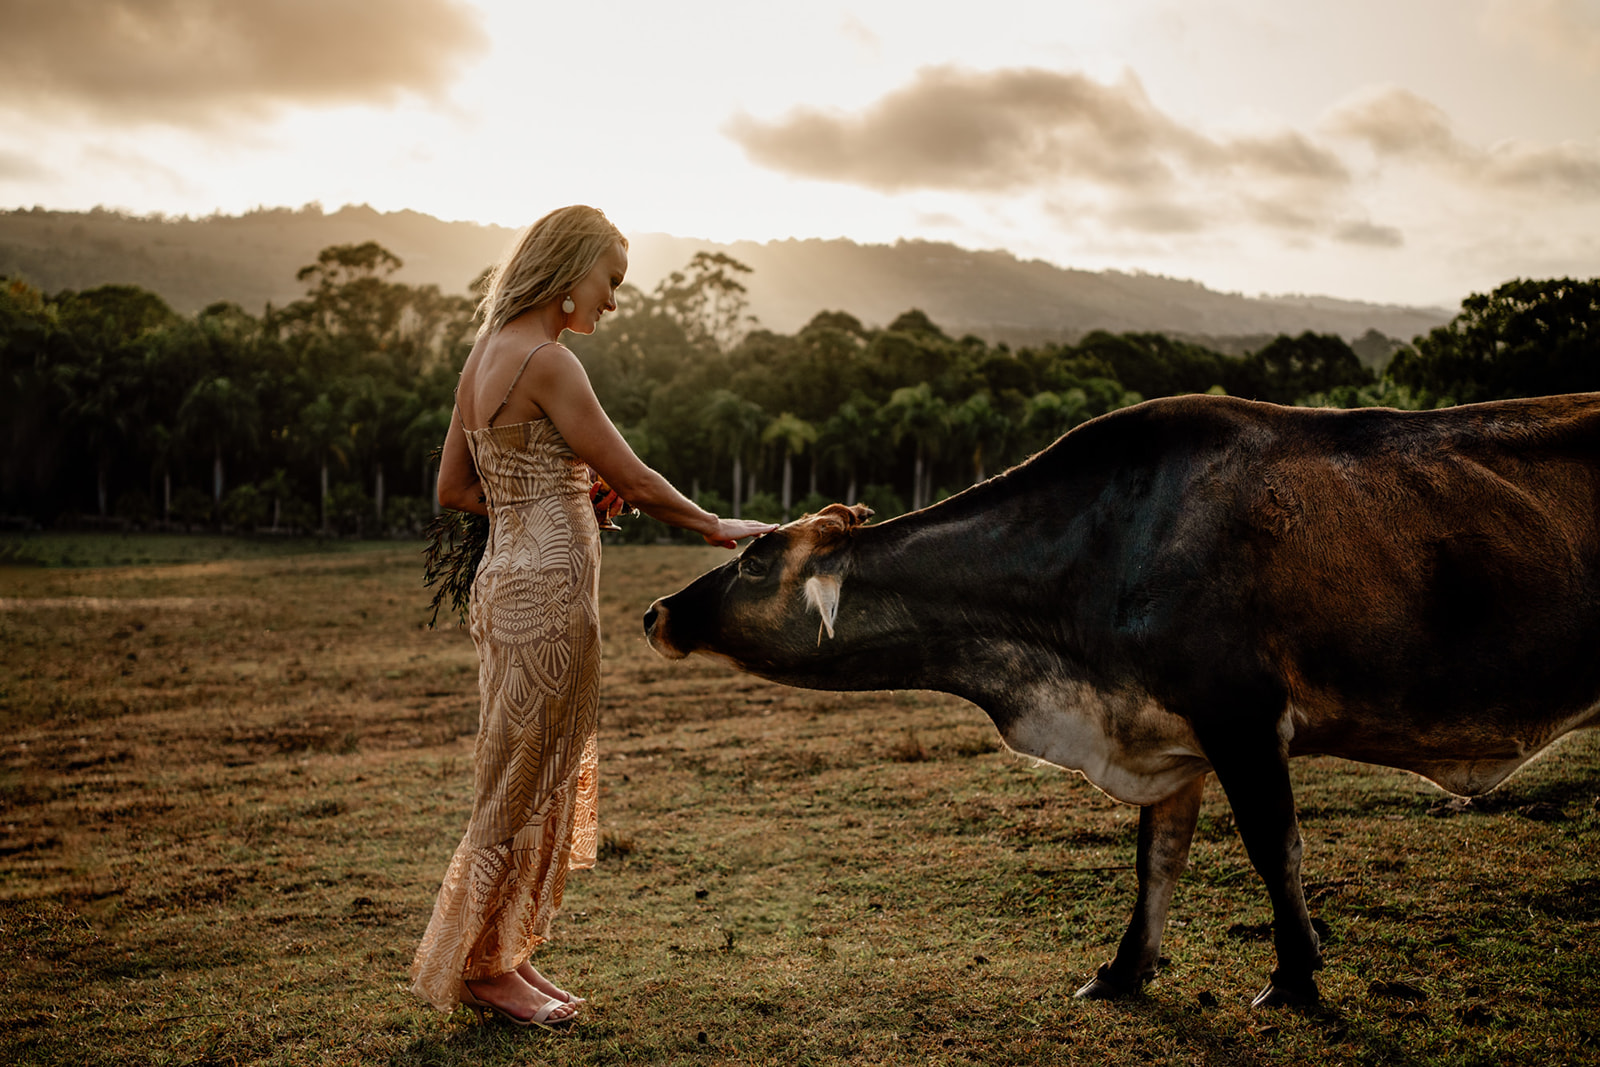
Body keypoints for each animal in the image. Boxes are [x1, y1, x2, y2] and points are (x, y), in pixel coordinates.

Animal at [643, 395, 1600, 1011]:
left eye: (756, 559)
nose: (656, 611)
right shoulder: (1166, 734)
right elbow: (1158, 858)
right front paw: (1124, 968)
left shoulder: (1242, 717)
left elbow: (1274, 847)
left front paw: (1295, 975)